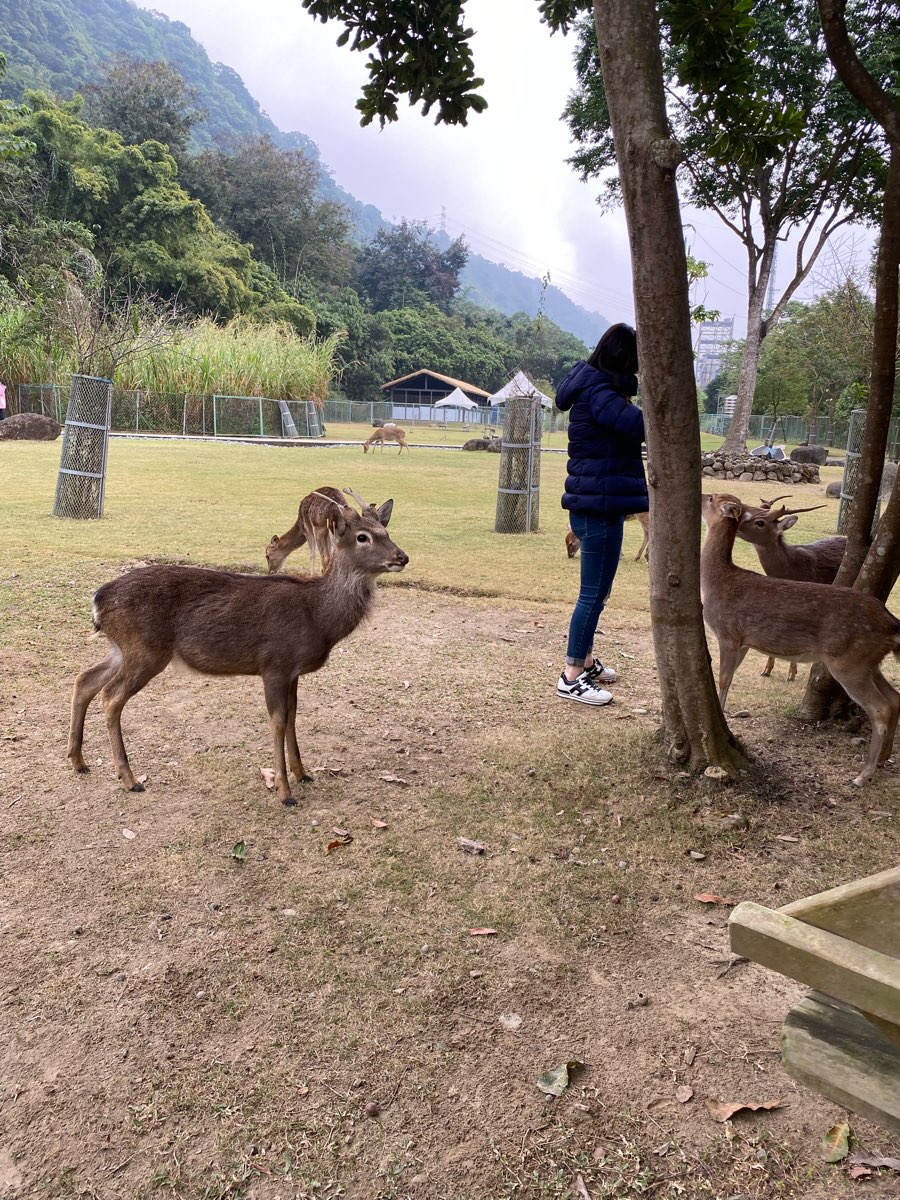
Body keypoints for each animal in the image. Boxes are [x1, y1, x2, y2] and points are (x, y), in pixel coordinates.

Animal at [68, 493, 408, 806]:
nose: (402, 556)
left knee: (85, 679)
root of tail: (98, 600)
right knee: (111, 697)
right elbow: (278, 721)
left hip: (122, 648)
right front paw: (285, 792)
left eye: (386, 530)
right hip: (145, 650)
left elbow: (294, 718)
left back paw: (78, 761)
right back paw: (129, 778)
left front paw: (303, 773)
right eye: (362, 537)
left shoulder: (293, 671)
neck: (318, 618)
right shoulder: (274, 663)